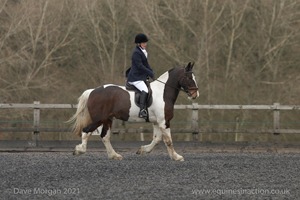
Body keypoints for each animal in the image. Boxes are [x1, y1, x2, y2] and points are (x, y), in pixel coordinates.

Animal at [68, 61, 199, 162]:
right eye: (189, 78)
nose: (195, 94)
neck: (163, 93)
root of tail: (92, 91)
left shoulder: (157, 122)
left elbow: (157, 139)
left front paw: (142, 150)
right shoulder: (164, 121)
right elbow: (168, 141)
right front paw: (177, 157)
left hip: (107, 119)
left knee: (105, 136)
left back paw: (114, 155)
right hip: (99, 119)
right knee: (86, 131)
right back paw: (79, 150)